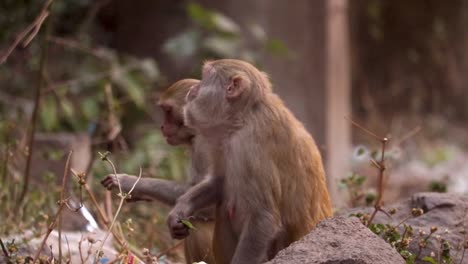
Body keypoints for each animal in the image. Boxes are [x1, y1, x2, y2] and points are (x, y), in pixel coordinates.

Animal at [102, 79, 216, 264]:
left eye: (168, 110)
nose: (162, 126)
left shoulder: (204, 146)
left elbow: (212, 205)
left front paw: (130, 182)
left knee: (197, 225)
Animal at [168, 59, 332, 264]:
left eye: (205, 76)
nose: (193, 88)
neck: (243, 117)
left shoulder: (251, 145)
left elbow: (263, 217)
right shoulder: (223, 143)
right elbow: (219, 182)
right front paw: (180, 210)